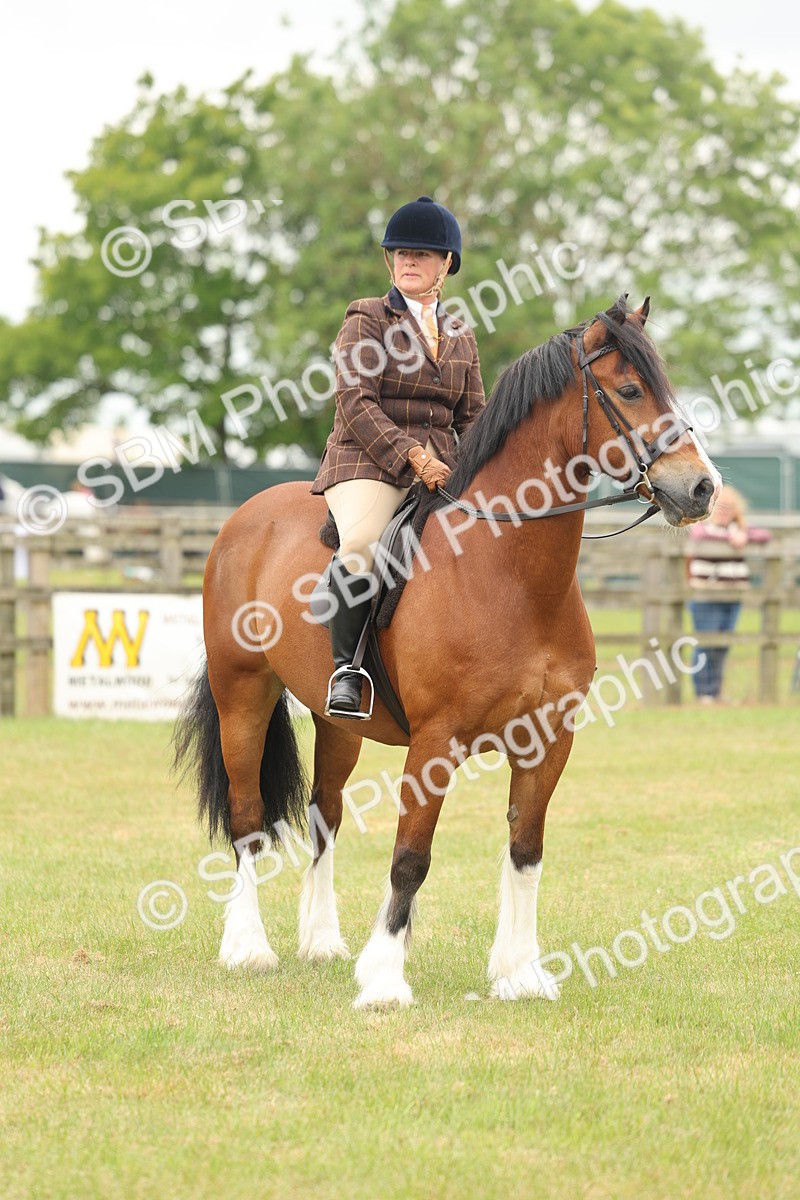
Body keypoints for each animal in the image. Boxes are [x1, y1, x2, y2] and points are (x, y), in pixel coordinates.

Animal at [173, 295, 721, 1008]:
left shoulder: (548, 739)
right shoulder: (436, 742)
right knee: (247, 819)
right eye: (630, 390)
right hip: (243, 693)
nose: (703, 489)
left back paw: (321, 942)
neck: (510, 573)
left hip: (337, 721)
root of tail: (243, 518)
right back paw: (248, 950)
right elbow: (412, 856)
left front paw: (521, 973)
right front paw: (384, 979)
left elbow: (526, 850)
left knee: (325, 815)